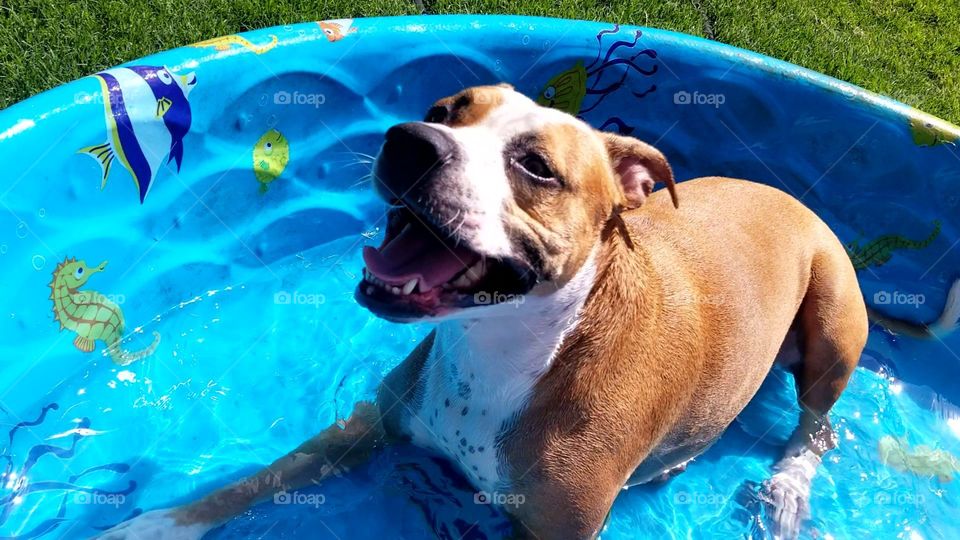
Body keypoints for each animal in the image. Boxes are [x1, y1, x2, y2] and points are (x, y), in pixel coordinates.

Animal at [101, 84, 956, 540]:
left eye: (536, 166)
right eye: (446, 107)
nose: (409, 139)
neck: (503, 349)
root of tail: (800, 205)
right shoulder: (372, 422)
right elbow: (270, 473)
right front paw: (156, 523)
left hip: (833, 318)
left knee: (818, 423)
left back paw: (787, 487)